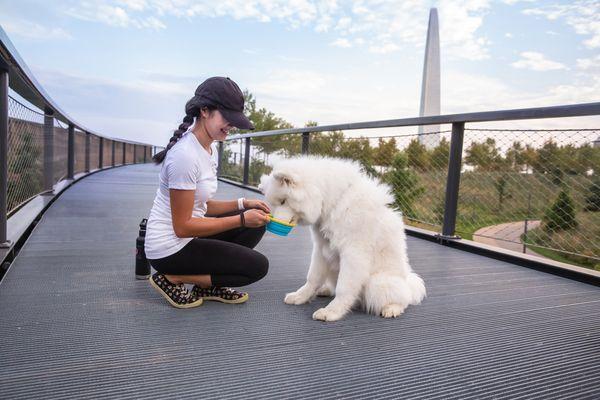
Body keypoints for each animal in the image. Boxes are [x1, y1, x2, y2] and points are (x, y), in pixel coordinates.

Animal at [258, 155, 426, 322]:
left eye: (283, 201)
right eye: (275, 203)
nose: (272, 224)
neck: (334, 201)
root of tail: (408, 281)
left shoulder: (353, 253)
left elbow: (343, 288)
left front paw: (331, 312)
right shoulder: (321, 248)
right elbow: (312, 277)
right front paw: (300, 297)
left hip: (378, 283)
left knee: (402, 299)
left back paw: (392, 308)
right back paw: (324, 290)